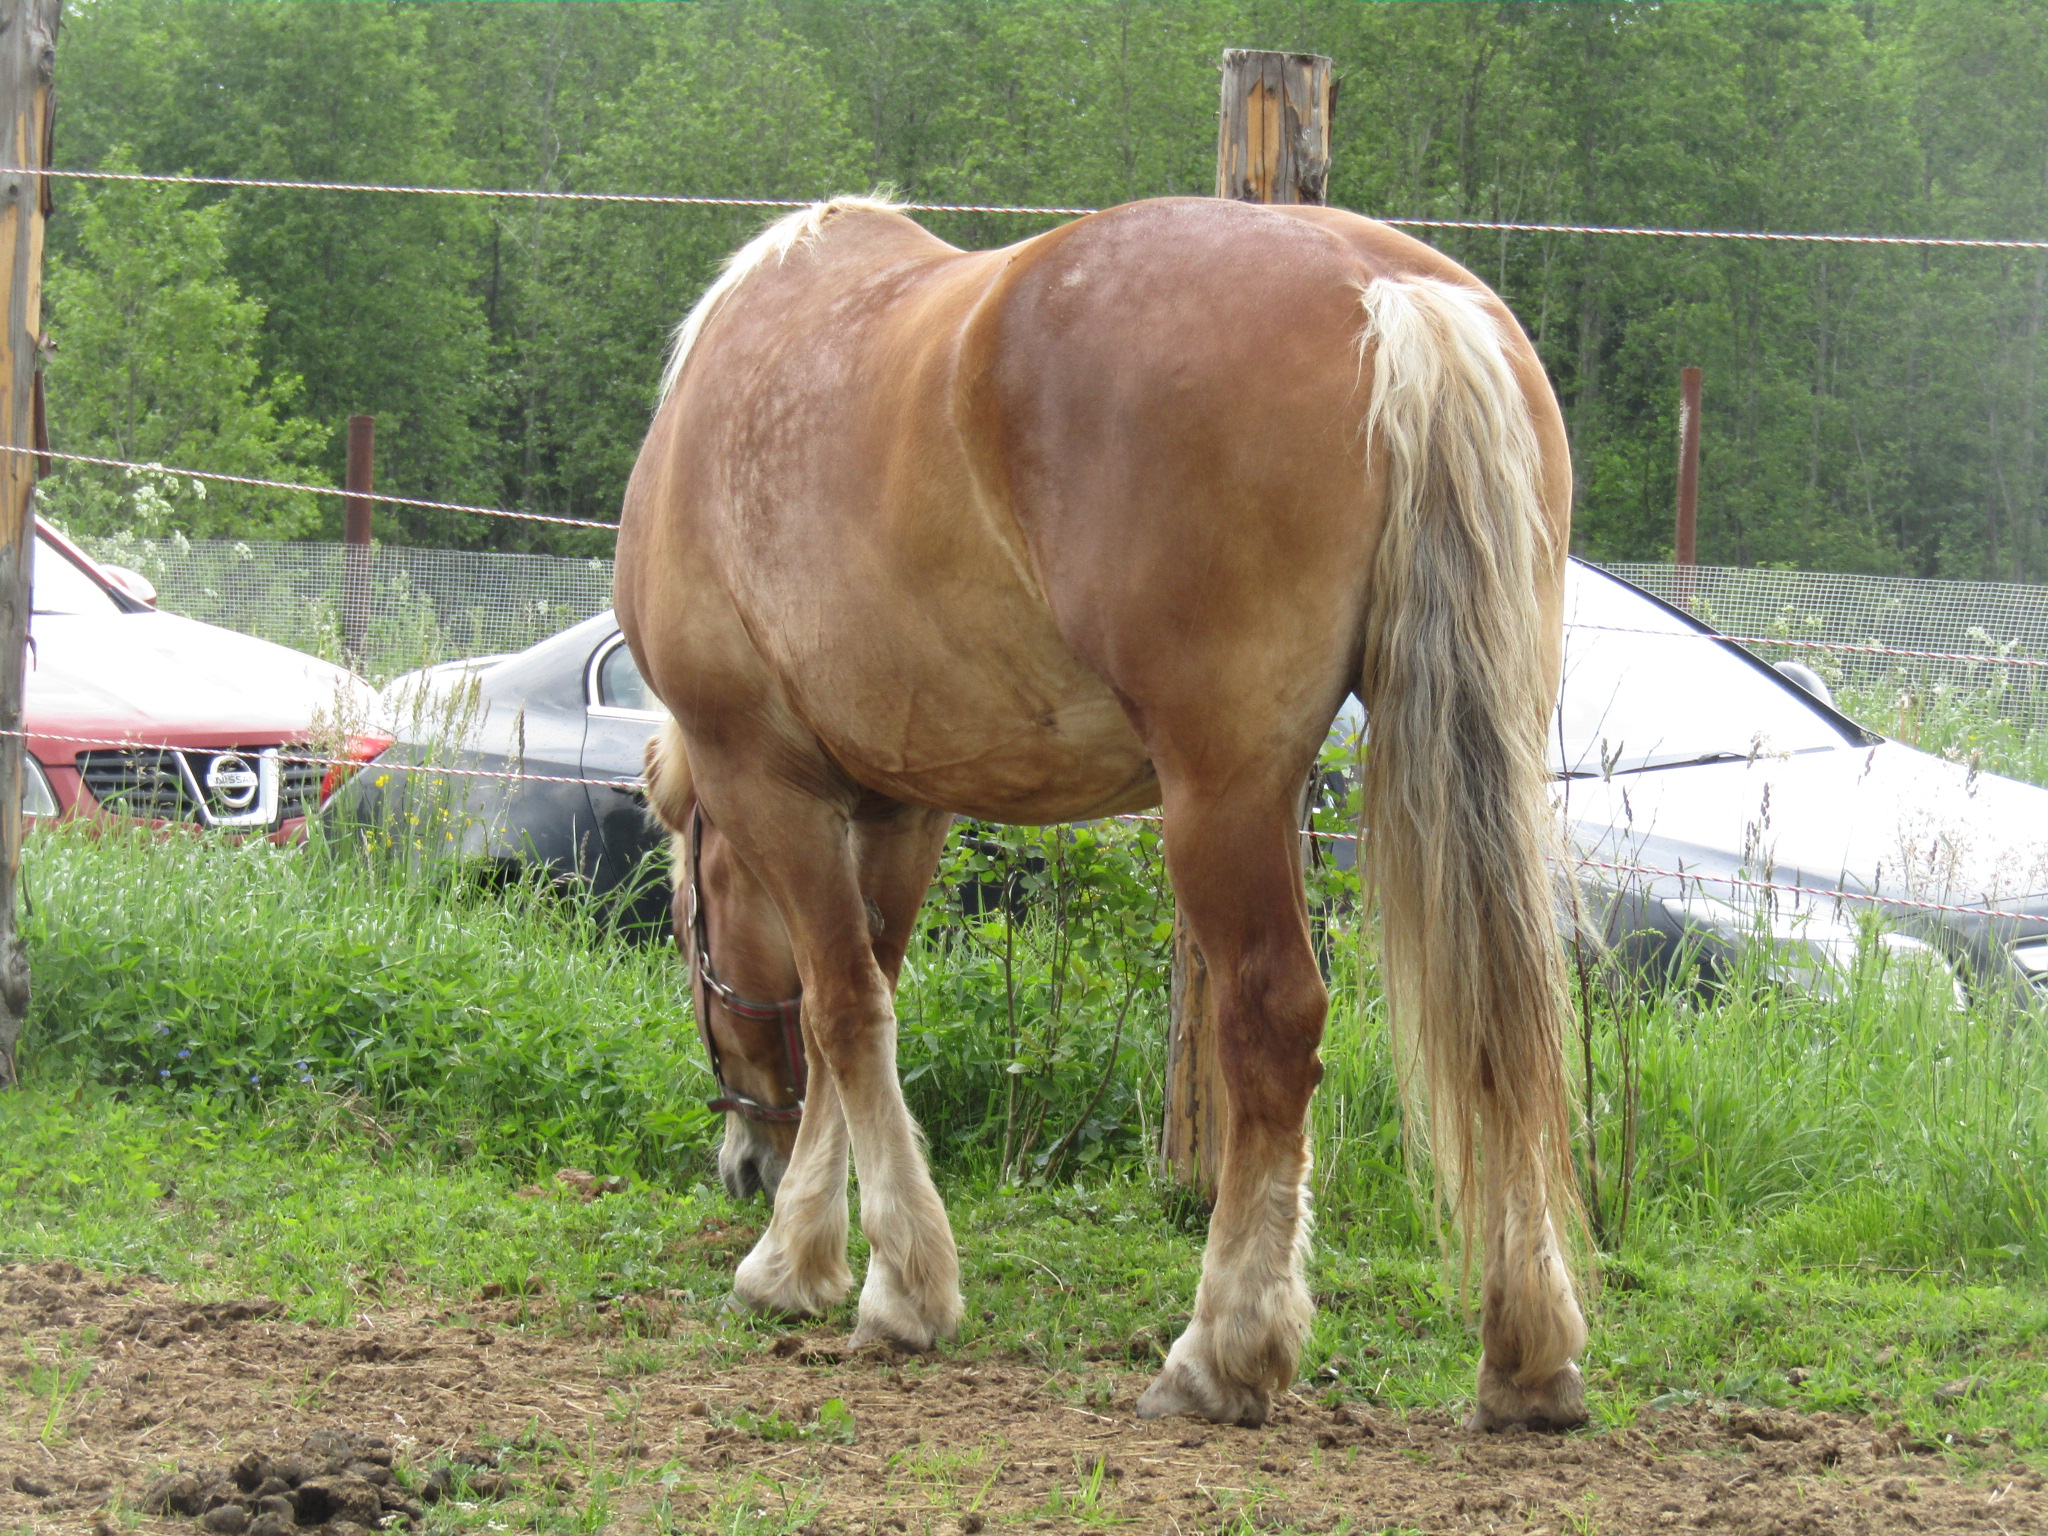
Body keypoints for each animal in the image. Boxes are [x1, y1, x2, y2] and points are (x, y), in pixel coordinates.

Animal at [614, 192, 1589, 1433]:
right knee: (1497, 1025)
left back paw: (1223, 1349)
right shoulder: (902, 806)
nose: (741, 1164)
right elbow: (867, 1000)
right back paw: (1525, 1355)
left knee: (1271, 1020)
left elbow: (838, 1012)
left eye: (686, 919)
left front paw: (868, 1280)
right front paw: (826, 1257)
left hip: (1220, 797)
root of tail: (1387, 294)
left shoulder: (765, 778)